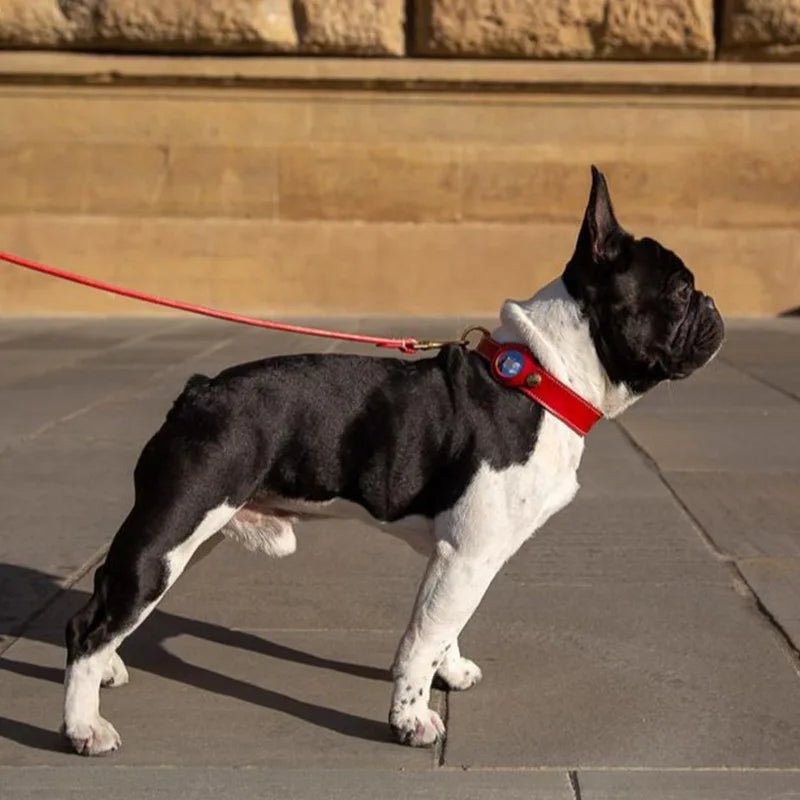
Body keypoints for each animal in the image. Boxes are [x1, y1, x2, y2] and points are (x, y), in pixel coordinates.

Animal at [62, 167, 724, 756]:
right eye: (680, 290)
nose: (713, 303)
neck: (546, 379)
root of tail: (198, 392)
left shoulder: (461, 560)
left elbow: (445, 627)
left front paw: (449, 674)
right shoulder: (470, 553)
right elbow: (420, 641)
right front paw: (411, 719)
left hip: (199, 531)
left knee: (110, 600)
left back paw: (107, 673)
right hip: (175, 527)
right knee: (92, 625)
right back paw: (82, 726)